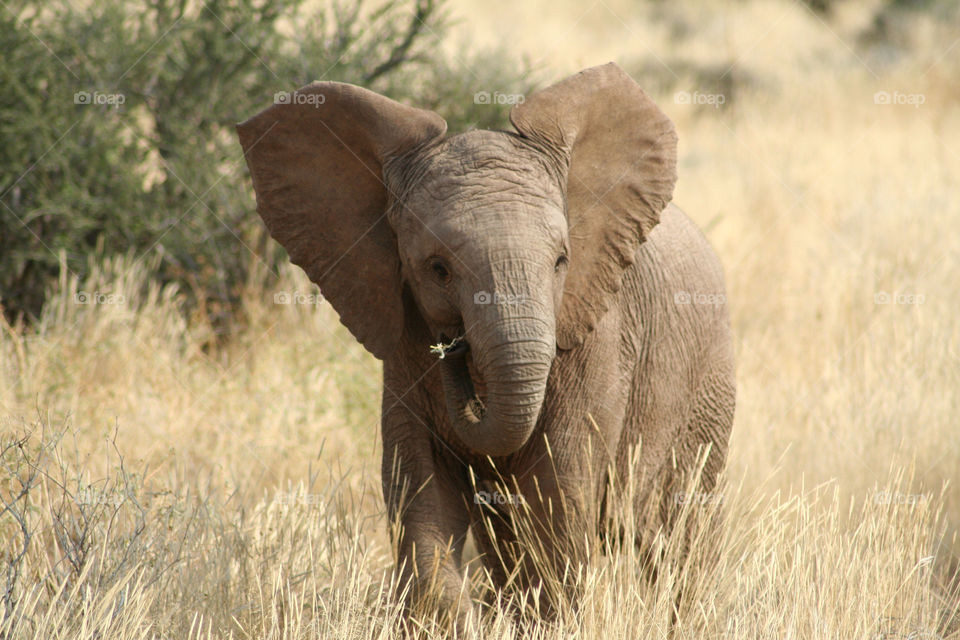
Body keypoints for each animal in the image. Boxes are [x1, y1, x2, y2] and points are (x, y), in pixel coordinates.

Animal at [240, 63, 736, 624]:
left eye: (561, 262)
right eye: (438, 269)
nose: (451, 348)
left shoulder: (596, 335)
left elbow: (558, 491)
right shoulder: (404, 344)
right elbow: (423, 491)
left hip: (706, 395)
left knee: (679, 535)